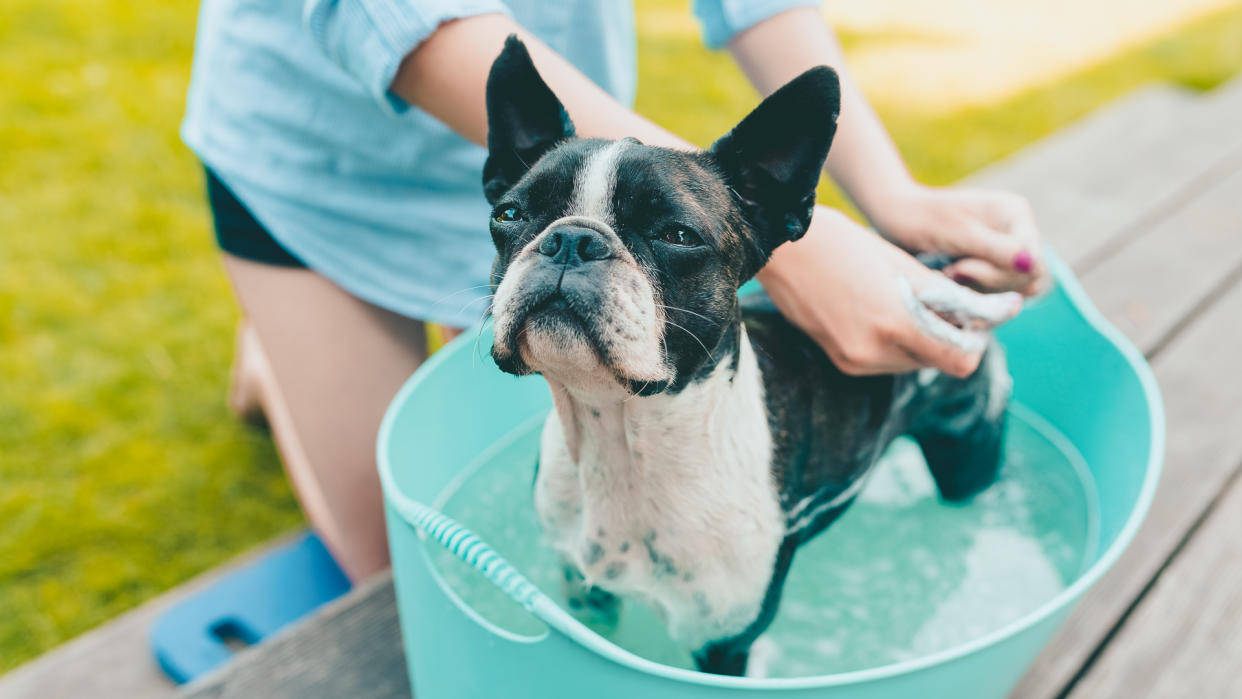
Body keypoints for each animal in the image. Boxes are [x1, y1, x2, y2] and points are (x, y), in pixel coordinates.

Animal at [479, 38, 1013, 680]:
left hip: (968, 451)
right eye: (509, 215)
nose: (571, 239)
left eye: (679, 236)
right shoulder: (585, 589)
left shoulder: (722, 642)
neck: (624, 437)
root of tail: (933, 268)